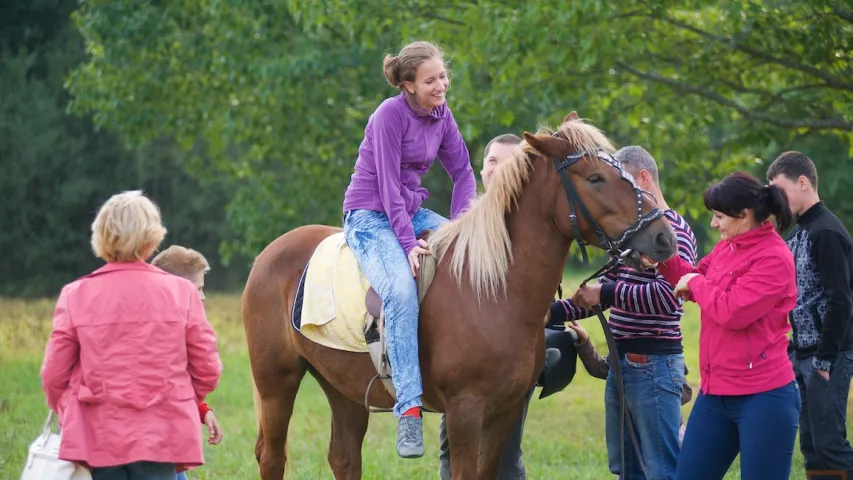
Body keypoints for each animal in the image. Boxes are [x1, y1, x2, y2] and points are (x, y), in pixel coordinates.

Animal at [241, 110, 680, 478]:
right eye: (594, 179)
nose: (663, 236)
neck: (491, 290)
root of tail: (269, 253)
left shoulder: (505, 412)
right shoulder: (465, 412)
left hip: (341, 388)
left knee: (344, 457)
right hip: (276, 380)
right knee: (272, 456)